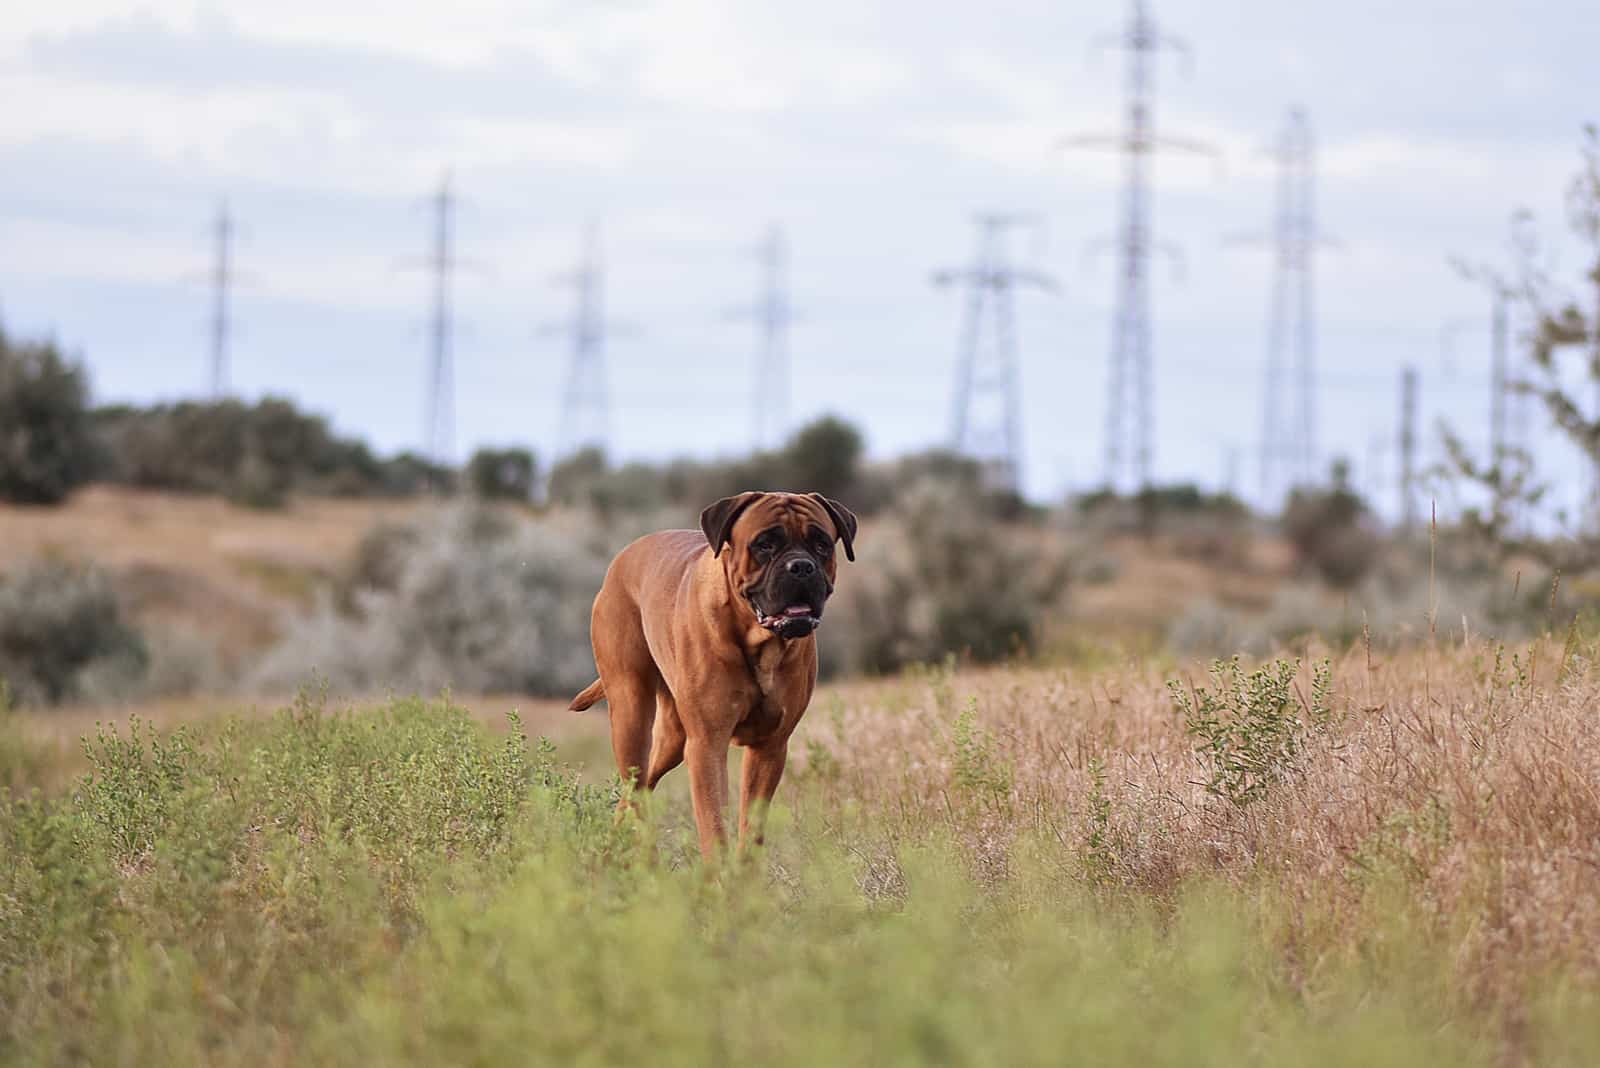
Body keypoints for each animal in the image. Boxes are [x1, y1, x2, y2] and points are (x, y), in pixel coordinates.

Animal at [569, 492, 857, 856]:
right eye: (765, 544)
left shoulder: (770, 748)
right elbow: (714, 826)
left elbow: (751, 829)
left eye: (821, 544)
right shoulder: (707, 745)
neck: (759, 644)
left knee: (641, 787)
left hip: (672, 737)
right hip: (631, 714)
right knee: (635, 789)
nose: (801, 567)